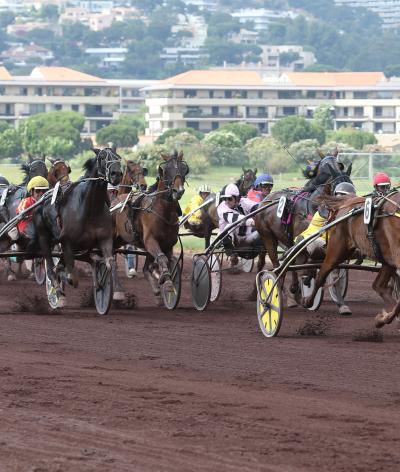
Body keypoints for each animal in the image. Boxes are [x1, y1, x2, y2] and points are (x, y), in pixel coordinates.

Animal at [112, 151, 188, 298]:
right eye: (165, 170)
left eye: (184, 169)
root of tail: (115, 201)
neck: (162, 211)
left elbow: (165, 260)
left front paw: (165, 280)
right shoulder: (150, 240)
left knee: (145, 268)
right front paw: (166, 281)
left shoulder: (168, 244)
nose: (178, 191)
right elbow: (162, 258)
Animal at [255, 153, 352, 304]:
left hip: (286, 239)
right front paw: (306, 281)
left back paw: (294, 287)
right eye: (338, 189)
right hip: (267, 236)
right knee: (277, 264)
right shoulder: (303, 240)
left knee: (290, 261)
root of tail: (265, 200)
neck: (314, 207)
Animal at [302, 191, 400, 328]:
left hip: (385, 259)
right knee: (321, 275)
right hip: (337, 249)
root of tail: (347, 201)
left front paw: (383, 318)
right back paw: (308, 300)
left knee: (378, 286)